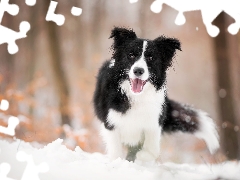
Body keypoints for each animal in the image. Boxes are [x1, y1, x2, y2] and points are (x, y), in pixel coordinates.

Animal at [93, 27, 219, 162]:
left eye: (151, 58)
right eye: (131, 55)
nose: (138, 70)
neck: (137, 96)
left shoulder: (154, 120)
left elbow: (152, 150)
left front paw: (142, 155)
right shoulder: (111, 123)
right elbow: (115, 152)